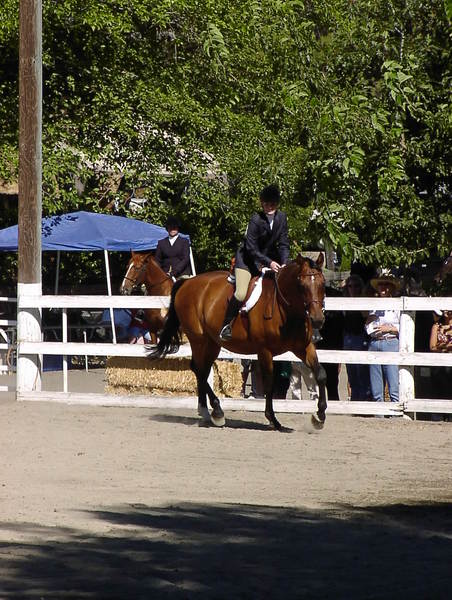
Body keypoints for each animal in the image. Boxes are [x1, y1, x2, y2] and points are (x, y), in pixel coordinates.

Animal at [149, 253, 326, 431]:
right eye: (301, 285)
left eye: (323, 284)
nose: (317, 320)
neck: (286, 310)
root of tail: (188, 282)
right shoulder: (265, 351)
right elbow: (269, 383)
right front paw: (273, 419)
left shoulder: (304, 347)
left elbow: (321, 374)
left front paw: (319, 416)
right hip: (198, 339)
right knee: (199, 369)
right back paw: (216, 412)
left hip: (212, 343)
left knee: (202, 370)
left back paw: (206, 412)